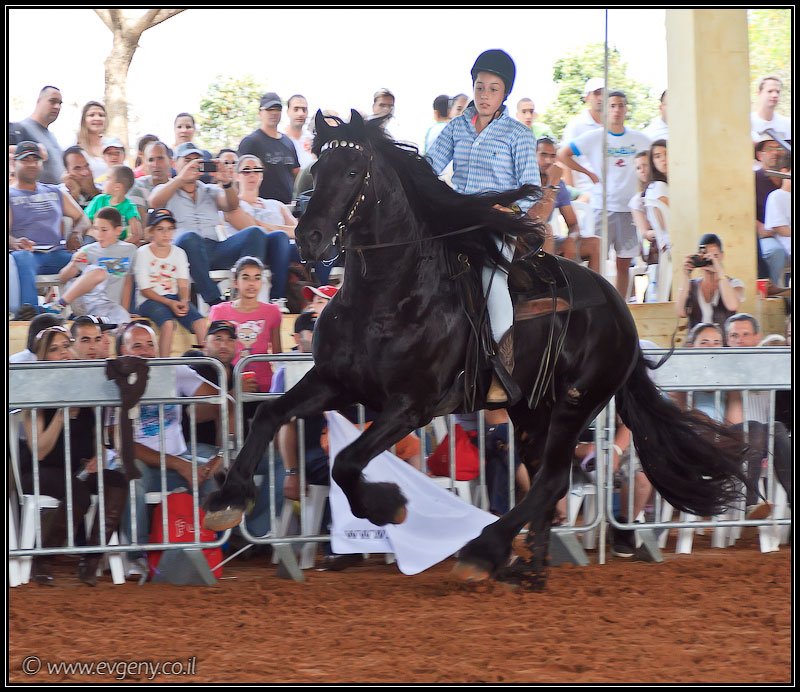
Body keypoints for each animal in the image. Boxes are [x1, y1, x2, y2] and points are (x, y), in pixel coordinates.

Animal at [204, 109, 748, 590]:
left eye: (354, 171)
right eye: (318, 169)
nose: (308, 237)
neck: (391, 297)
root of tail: (621, 311)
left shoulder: (411, 406)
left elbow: (347, 463)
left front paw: (389, 505)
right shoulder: (336, 382)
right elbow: (270, 415)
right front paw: (228, 498)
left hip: (575, 403)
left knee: (553, 478)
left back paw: (485, 552)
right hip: (531, 409)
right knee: (545, 477)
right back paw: (528, 570)